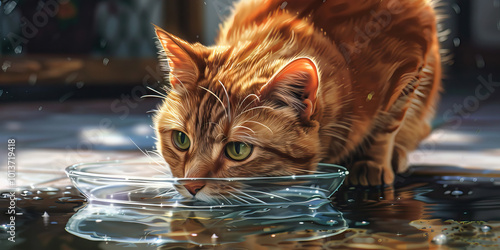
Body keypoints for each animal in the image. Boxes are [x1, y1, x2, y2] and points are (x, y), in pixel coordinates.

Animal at [153, 0, 442, 199]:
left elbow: (388, 124)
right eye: (181, 140)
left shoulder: (415, 46)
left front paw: (372, 162)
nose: (190, 186)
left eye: (238, 150)